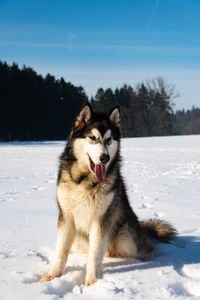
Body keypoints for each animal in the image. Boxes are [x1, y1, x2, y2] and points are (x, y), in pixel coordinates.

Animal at [39, 103, 176, 286]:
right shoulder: (66, 217)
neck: (86, 179)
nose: (105, 157)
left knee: (143, 249)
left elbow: (95, 254)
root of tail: (140, 228)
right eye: (93, 137)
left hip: (125, 235)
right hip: (80, 238)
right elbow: (61, 251)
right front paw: (53, 275)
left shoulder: (101, 219)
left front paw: (91, 282)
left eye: (109, 140)